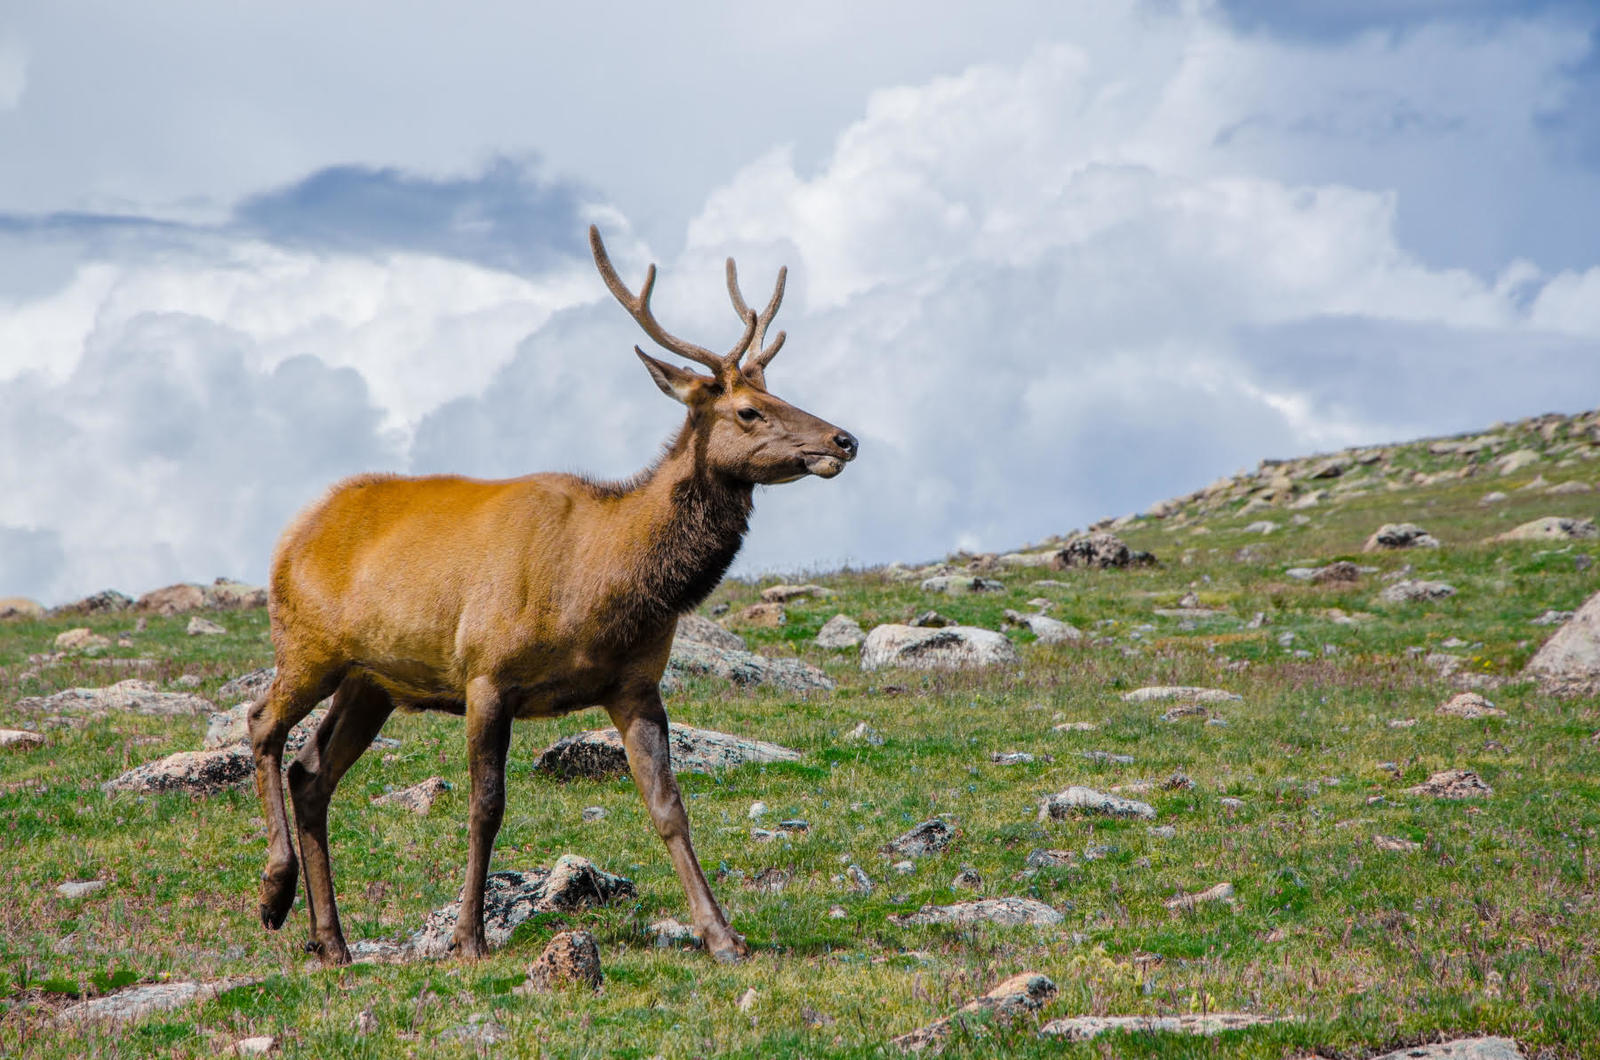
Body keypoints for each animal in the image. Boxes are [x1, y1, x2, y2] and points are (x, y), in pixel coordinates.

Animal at [243, 228, 857, 967]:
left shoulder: (635, 684)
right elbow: (486, 806)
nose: (844, 438)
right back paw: (274, 894)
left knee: (311, 774)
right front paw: (468, 937)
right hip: (307, 643)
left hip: (373, 680)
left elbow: (668, 806)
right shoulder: (486, 672)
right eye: (748, 410)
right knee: (261, 722)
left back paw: (331, 942)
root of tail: (292, 531)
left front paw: (723, 936)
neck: (601, 584)